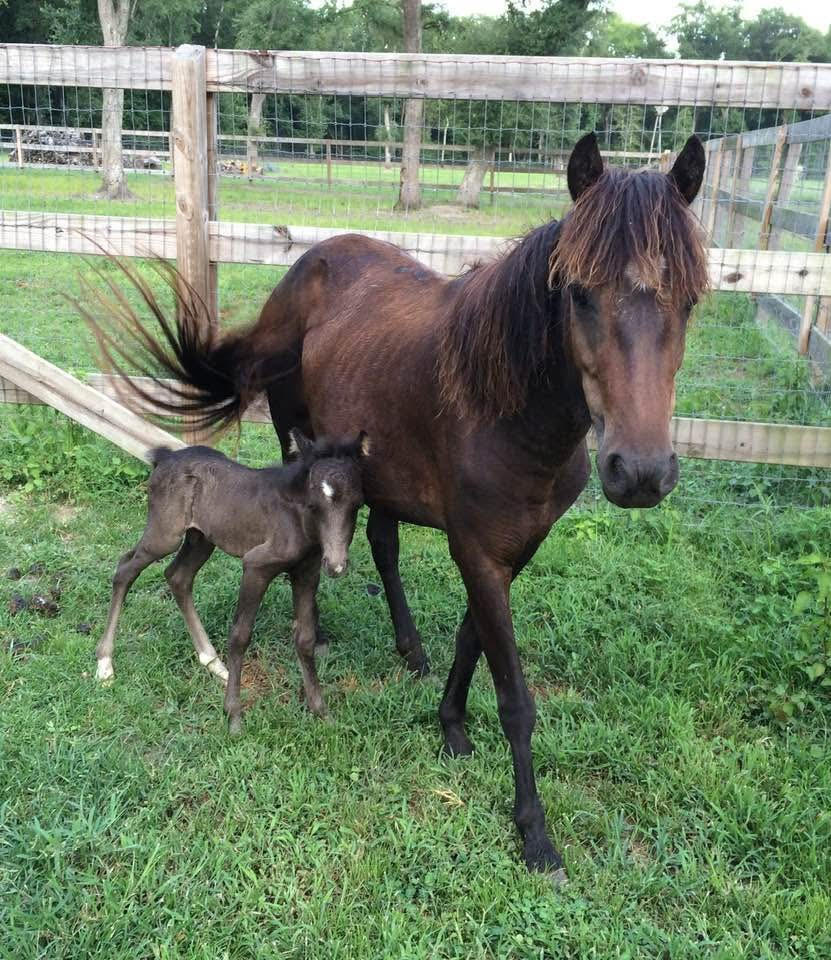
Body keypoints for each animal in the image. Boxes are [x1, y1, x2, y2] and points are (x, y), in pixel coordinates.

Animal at [95, 432, 368, 732]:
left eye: (357, 504)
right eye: (314, 505)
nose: (336, 565)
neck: (298, 520)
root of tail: (164, 457)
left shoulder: (307, 573)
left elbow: (305, 638)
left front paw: (321, 712)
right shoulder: (256, 566)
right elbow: (240, 635)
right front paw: (234, 715)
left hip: (201, 539)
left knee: (177, 577)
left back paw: (213, 663)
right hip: (165, 536)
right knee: (125, 569)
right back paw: (105, 664)